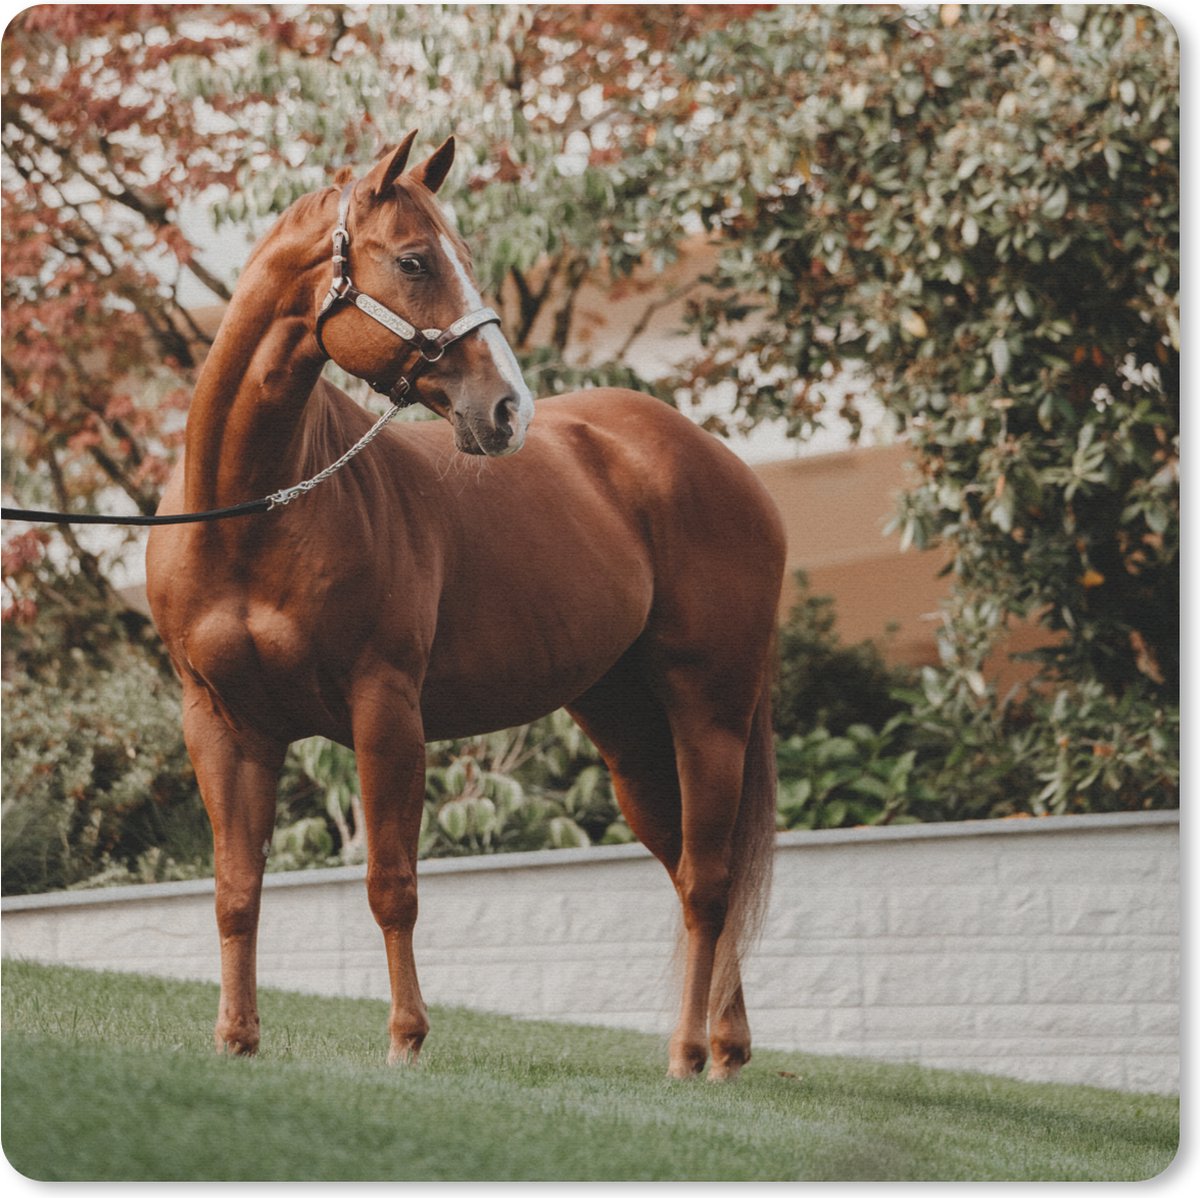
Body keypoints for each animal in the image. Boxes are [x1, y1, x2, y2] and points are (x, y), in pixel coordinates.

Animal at [146, 131, 786, 1081]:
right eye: (415, 261)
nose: (507, 409)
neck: (250, 515)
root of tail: (724, 465)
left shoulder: (385, 711)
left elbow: (392, 885)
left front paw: (407, 1039)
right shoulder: (223, 724)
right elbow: (235, 891)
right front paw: (236, 1038)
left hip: (710, 716)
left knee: (708, 882)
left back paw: (685, 1055)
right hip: (629, 736)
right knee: (692, 869)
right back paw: (728, 1047)